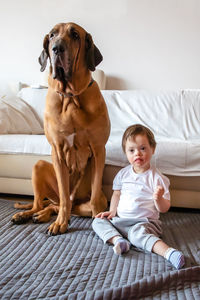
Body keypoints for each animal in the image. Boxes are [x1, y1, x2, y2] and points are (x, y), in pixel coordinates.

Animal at [11, 22, 110, 234]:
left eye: (75, 35)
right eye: (52, 35)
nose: (57, 48)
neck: (71, 97)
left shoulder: (99, 151)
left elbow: (95, 196)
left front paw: (101, 220)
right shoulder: (56, 151)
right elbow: (64, 196)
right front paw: (60, 223)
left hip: (83, 203)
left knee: (58, 205)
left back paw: (41, 216)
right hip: (38, 166)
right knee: (47, 203)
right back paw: (28, 215)